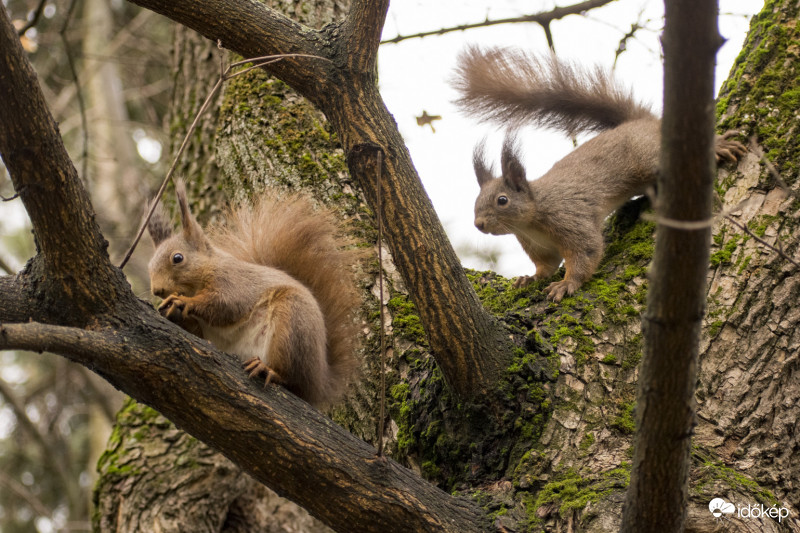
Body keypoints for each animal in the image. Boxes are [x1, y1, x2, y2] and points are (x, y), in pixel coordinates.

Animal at [147, 183, 362, 408]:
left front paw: (183, 302)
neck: (207, 268)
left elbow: (225, 306)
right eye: (149, 266)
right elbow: (198, 332)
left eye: (177, 258)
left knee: (291, 379)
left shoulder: (233, 282)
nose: (157, 291)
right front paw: (173, 311)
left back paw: (268, 370)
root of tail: (320, 382)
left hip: (292, 326)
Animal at [454, 46, 748, 300]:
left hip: (651, 158)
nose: (479, 224)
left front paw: (566, 284)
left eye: (502, 200)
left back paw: (718, 146)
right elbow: (547, 265)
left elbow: (586, 250)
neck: (531, 220)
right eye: (476, 202)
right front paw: (530, 278)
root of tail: (640, 122)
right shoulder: (537, 245)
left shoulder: (569, 219)